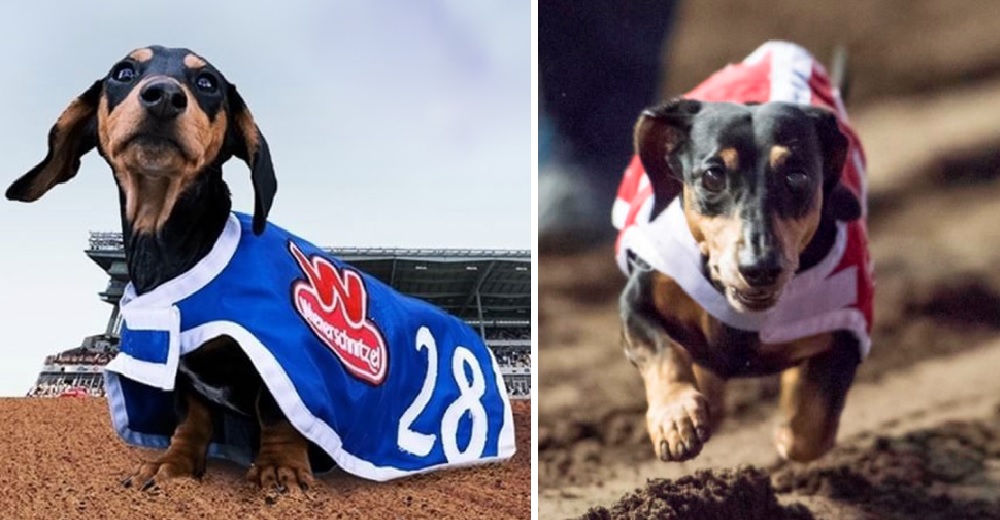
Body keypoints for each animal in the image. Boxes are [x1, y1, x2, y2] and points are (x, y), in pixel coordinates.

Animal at [6, 46, 308, 494]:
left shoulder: (281, 354)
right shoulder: (180, 367)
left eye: (207, 83)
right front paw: (172, 466)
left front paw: (279, 469)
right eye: (123, 72)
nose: (164, 96)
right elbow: (193, 422)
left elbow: (278, 412)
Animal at [612, 41, 872, 464]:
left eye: (796, 176)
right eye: (713, 176)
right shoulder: (638, 299)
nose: (760, 268)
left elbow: (809, 430)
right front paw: (676, 418)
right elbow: (662, 350)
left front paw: (787, 430)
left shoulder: (849, 325)